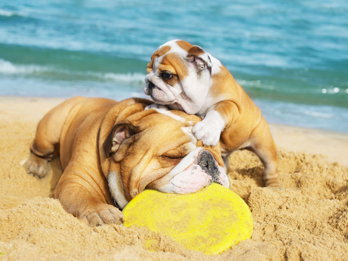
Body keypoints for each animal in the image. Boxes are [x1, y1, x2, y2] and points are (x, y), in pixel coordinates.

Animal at [22, 96, 228, 224]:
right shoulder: (76, 181)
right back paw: (36, 165)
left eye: (220, 156)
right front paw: (100, 211)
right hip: (49, 134)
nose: (209, 160)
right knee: (38, 147)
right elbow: (84, 198)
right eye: (172, 157)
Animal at [144, 39, 280, 187]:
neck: (206, 86)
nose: (149, 81)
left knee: (270, 166)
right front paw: (156, 105)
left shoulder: (230, 103)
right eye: (148, 70)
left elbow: (217, 112)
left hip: (263, 143)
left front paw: (207, 129)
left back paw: (274, 186)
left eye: (167, 75)